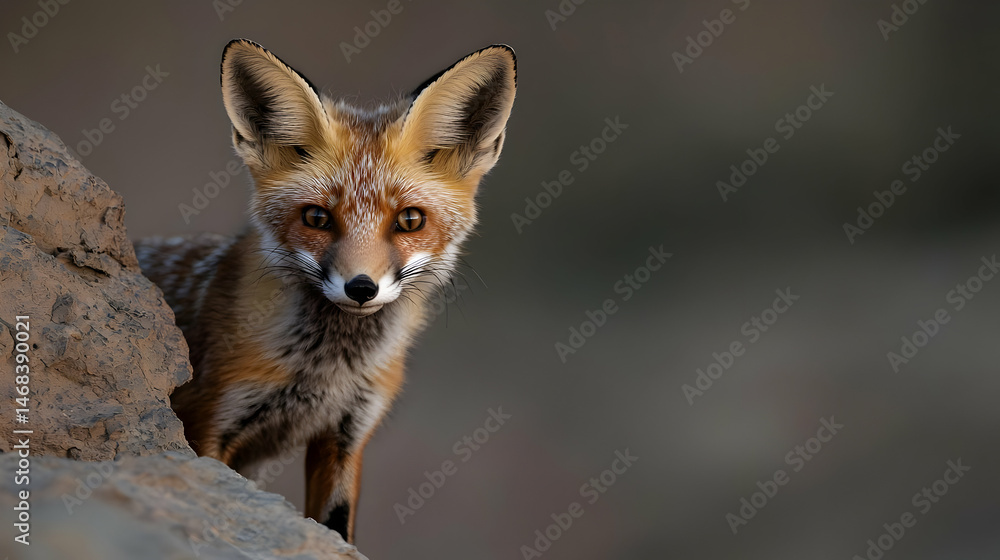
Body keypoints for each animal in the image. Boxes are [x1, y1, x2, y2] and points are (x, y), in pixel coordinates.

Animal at [133, 39, 516, 543]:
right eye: (316, 218)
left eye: (410, 220)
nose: (361, 288)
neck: (327, 372)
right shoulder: (208, 423)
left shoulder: (346, 434)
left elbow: (336, 526)